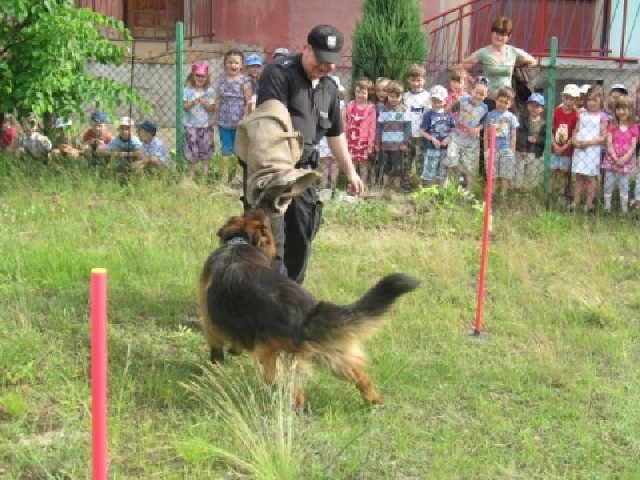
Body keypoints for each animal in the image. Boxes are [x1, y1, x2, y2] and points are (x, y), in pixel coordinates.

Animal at [200, 206, 420, 404]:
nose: (264, 208)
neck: (240, 242)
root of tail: (307, 314)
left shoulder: (211, 324)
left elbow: (217, 351)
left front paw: (216, 368)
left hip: (270, 360)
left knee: (294, 394)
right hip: (331, 352)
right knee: (360, 376)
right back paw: (374, 400)